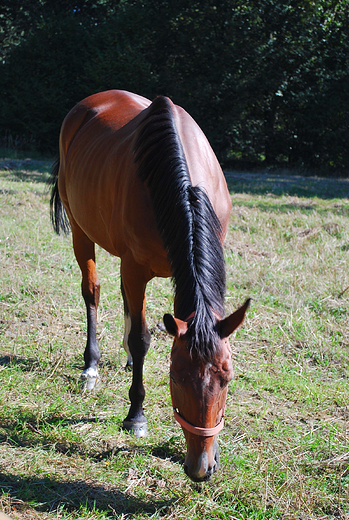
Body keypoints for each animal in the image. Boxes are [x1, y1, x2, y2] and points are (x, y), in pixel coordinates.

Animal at [50, 90, 249, 484]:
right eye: (176, 377)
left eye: (227, 378)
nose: (201, 467)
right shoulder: (135, 267)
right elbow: (142, 338)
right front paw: (136, 416)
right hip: (82, 233)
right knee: (92, 291)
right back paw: (91, 367)